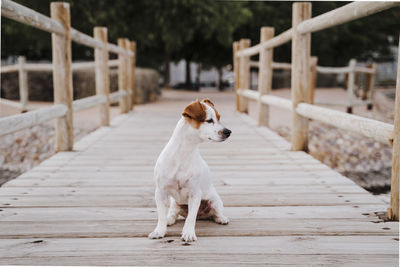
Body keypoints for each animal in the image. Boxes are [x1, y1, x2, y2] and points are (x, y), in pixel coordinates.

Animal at [148, 98, 231, 243]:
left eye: (219, 118)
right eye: (209, 120)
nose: (228, 131)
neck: (183, 153)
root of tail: (201, 215)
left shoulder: (195, 194)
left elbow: (190, 218)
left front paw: (188, 233)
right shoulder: (160, 192)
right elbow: (161, 216)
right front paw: (160, 230)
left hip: (214, 201)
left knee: (214, 213)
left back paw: (221, 218)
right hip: (175, 203)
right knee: (172, 214)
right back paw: (169, 219)